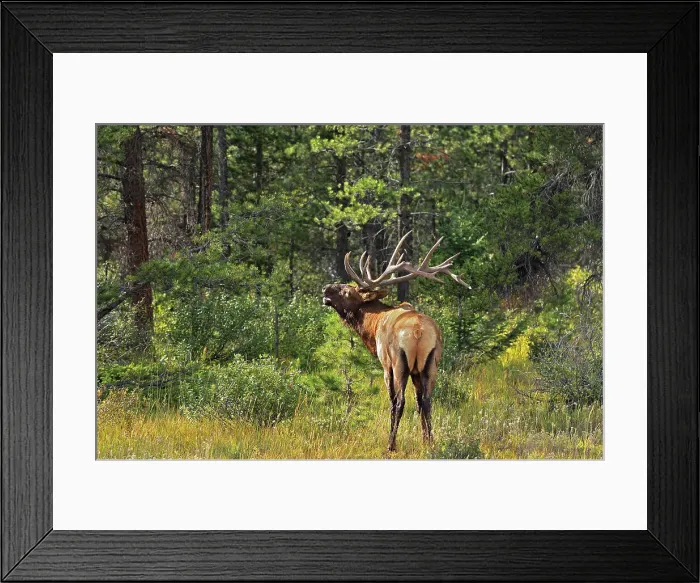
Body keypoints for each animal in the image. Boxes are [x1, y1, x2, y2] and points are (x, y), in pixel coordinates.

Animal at [322, 231, 470, 452]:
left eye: (347, 291)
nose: (325, 290)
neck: (372, 327)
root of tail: (418, 331)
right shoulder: (418, 370)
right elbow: (419, 402)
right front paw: (425, 439)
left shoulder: (386, 365)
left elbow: (392, 401)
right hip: (431, 363)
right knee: (426, 401)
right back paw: (431, 442)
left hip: (400, 362)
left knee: (400, 402)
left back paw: (390, 444)